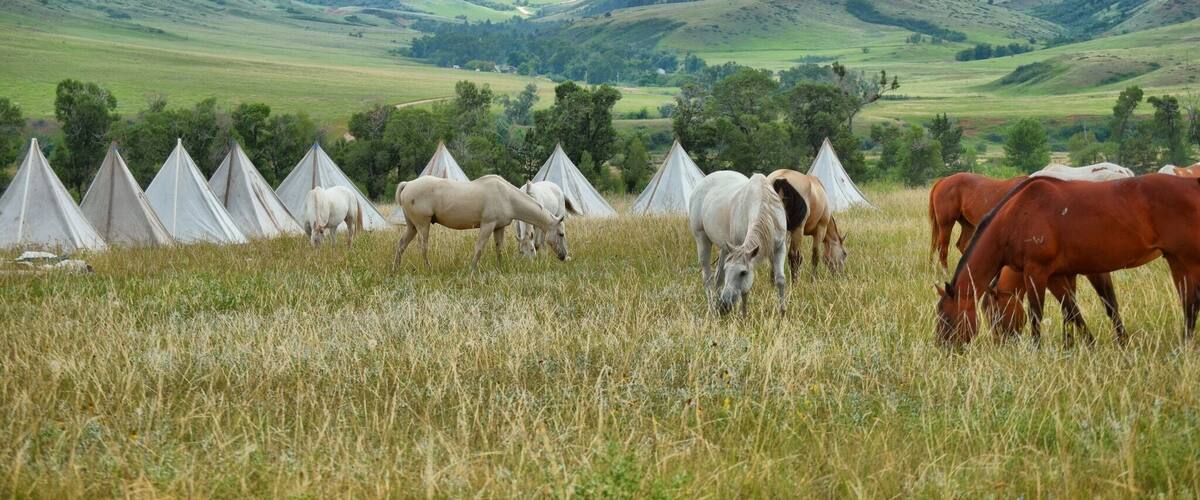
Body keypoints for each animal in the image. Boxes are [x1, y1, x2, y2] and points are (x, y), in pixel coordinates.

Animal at [393, 175, 568, 271]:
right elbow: (479, 248)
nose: (564, 256)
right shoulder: (487, 226)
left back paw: (396, 269)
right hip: (422, 225)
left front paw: (500, 268)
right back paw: (429, 269)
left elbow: (499, 249)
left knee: (401, 245)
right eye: (561, 234)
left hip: (412, 227)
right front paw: (472, 270)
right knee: (423, 248)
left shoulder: (499, 227)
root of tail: (408, 184)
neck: (507, 196)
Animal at [688, 171, 801, 315]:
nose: (725, 304)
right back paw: (713, 309)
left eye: (743, 273)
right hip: (702, 239)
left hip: (726, 248)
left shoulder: (779, 248)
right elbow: (745, 291)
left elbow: (780, 280)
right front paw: (744, 315)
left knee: (718, 278)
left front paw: (782, 312)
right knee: (708, 277)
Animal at [935, 175, 1200, 347]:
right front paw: (1083, 345)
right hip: (1177, 260)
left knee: (1190, 302)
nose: (944, 349)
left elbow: (1038, 313)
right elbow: (1072, 310)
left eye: (946, 319)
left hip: (1186, 260)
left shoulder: (1037, 272)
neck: (1016, 216)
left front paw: (1037, 348)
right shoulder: (1058, 275)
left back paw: (1185, 345)